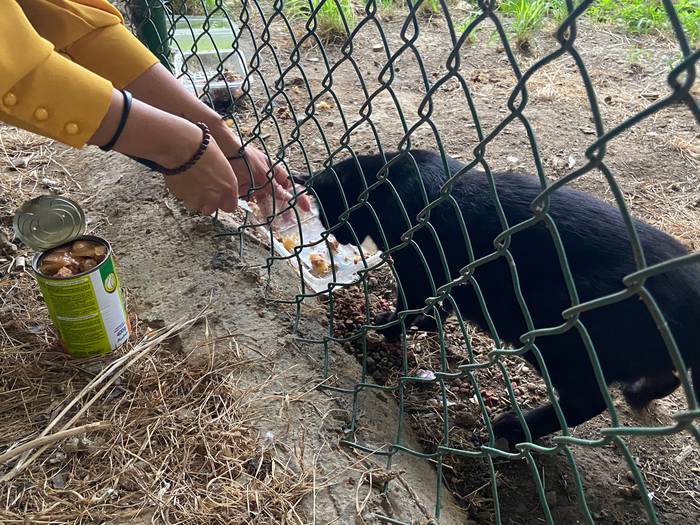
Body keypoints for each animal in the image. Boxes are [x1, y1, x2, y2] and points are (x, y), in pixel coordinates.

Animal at [296, 148, 700, 446]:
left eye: (328, 211)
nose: (335, 234)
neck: (390, 185)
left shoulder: (418, 271)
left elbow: (407, 306)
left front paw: (388, 327)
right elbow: (436, 304)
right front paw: (429, 321)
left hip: (555, 331)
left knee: (588, 400)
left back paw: (516, 428)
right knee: (663, 379)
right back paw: (638, 393)